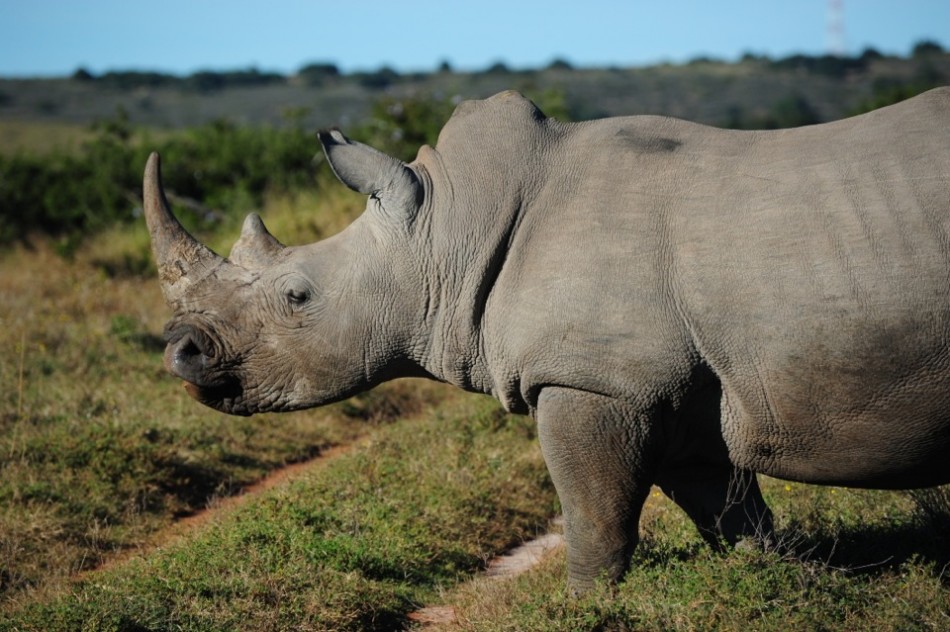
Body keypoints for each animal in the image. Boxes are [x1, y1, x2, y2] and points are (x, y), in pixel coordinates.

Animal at [144, 87, 950, 592]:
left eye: (297, 296)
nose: (180, 349)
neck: (447, 230)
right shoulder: (679, 387)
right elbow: (732, 514)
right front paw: (792, 579)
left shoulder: (595, 378)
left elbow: (594, 516)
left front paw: (585, 603)